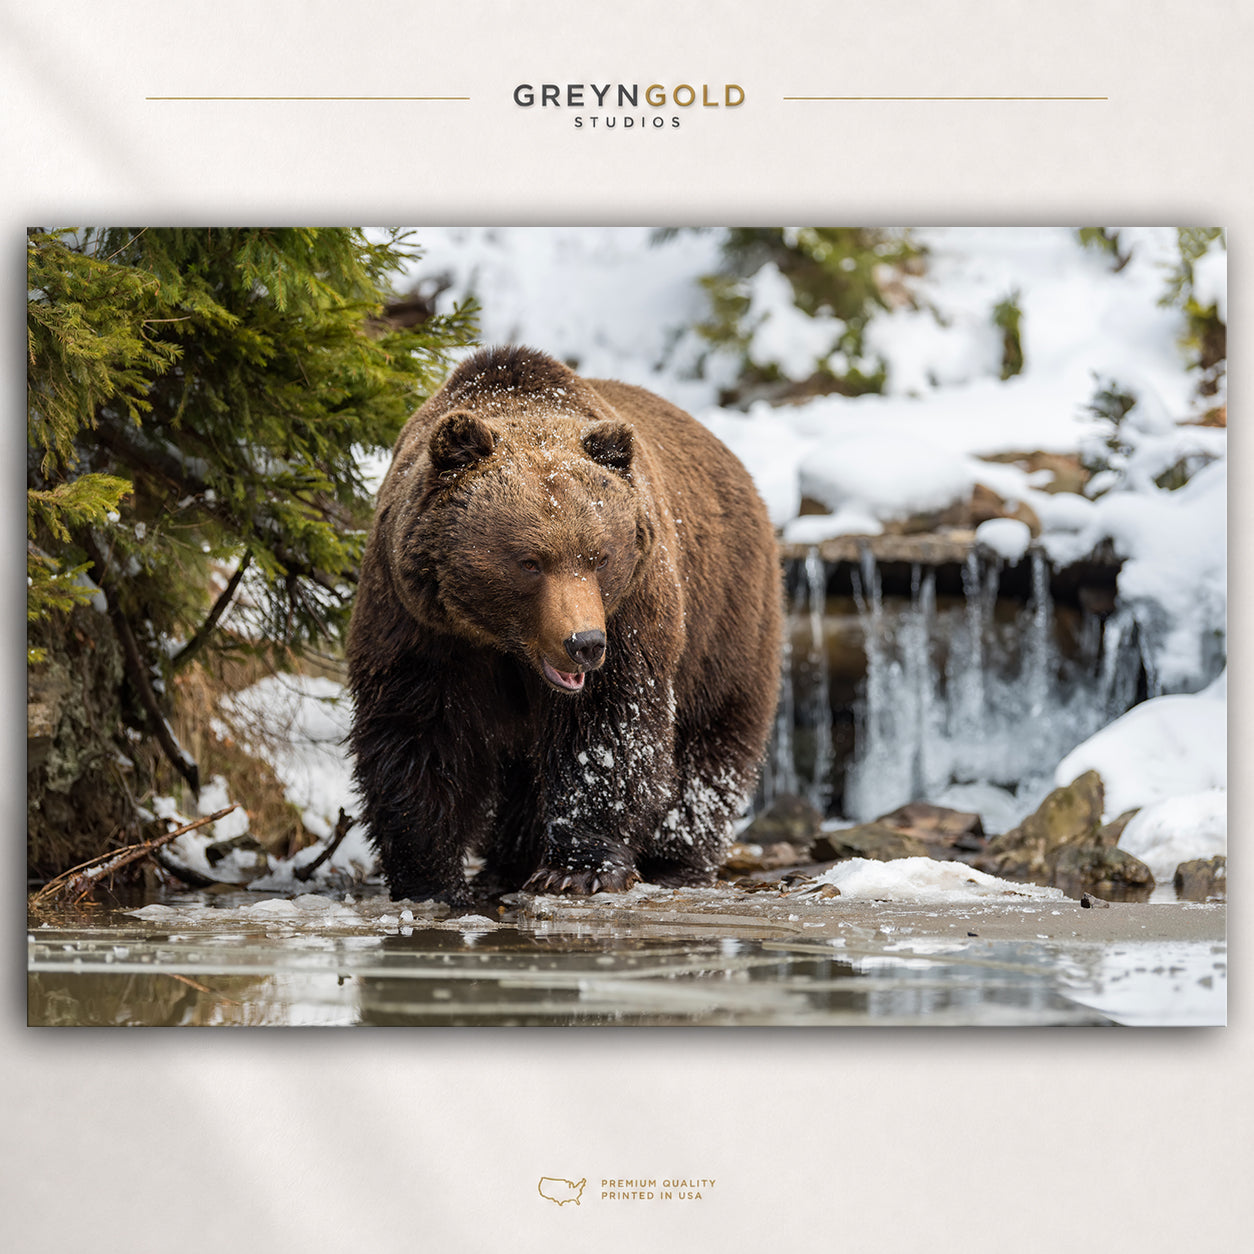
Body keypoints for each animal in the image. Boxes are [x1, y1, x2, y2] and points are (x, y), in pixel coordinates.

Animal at [347, 344, 782, 903]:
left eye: (599, 556)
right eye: (530, 561)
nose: (584, 643)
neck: (503, 642)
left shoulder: (631, 611)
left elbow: (606, 730)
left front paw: (578, 868)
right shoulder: (418, 622)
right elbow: (419, 731)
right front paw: (430, 878)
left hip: (726, 617)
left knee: (711, 740)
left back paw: (676, 861)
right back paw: (507, 862)